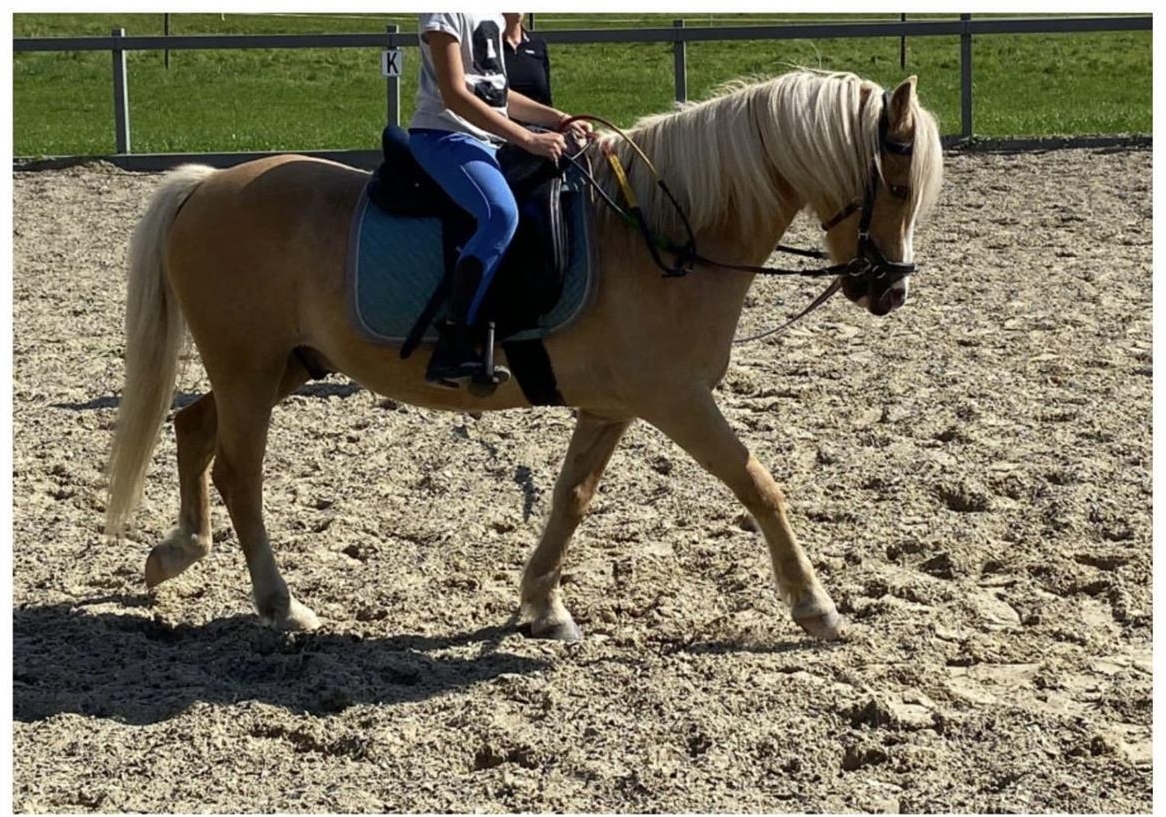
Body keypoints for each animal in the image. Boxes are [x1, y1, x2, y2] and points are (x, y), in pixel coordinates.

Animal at [104, 69, 943, 642]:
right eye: (899, 183)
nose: (892, 289)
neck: (662, 235)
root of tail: (208, 185)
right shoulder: (678, 400)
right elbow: (759, 485)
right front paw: (816, 606)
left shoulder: (613, 406)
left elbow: (573, 497)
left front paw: (543, 602)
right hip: (249, 366)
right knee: (238, 472)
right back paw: (280, 602)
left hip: (285, 363)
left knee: (193, 427)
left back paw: (173, 553)